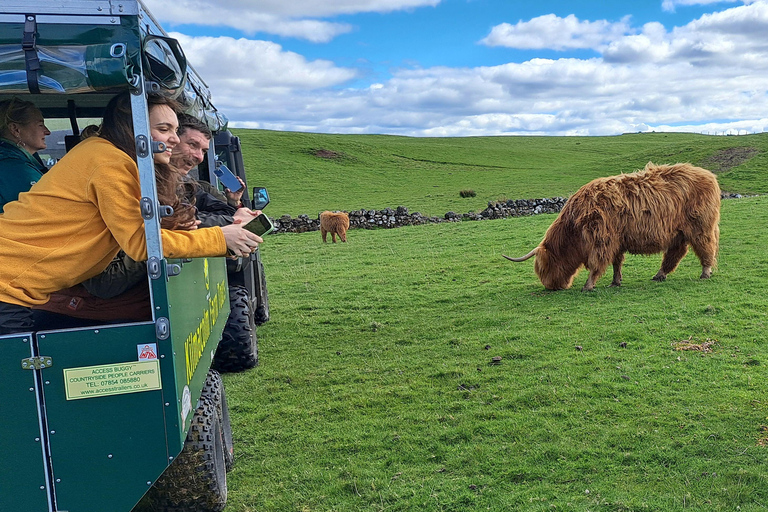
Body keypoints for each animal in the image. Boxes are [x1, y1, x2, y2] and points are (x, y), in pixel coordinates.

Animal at [503, 162, 721, 291]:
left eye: (544, 267)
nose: (550, 287)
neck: (574, 226)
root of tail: (708, 175)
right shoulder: (615, 241)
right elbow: (616, 262)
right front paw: (615, 282)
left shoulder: (602, 240)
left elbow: (597, 264)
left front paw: (588, 285)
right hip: (679, 233)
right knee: (676, 253)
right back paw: (659, 275)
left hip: (700, 227)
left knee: (706, 248)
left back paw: (705, 273)